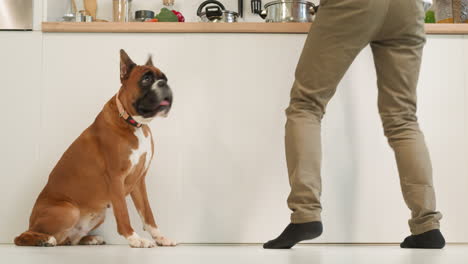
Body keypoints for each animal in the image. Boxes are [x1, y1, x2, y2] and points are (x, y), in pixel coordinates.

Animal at [15, 49, 176, 248]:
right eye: (146, 79)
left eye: (165, 79)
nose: (163, 84)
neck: (133, 122)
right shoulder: (116, 179)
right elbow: (123, 213)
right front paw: (135, 239)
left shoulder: (139, 181)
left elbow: (148, 213)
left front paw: (160, 237)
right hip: (69, 210)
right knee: (22, 236)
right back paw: (44, 239)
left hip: (97, 215)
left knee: (70, 240)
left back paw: (89, 238)